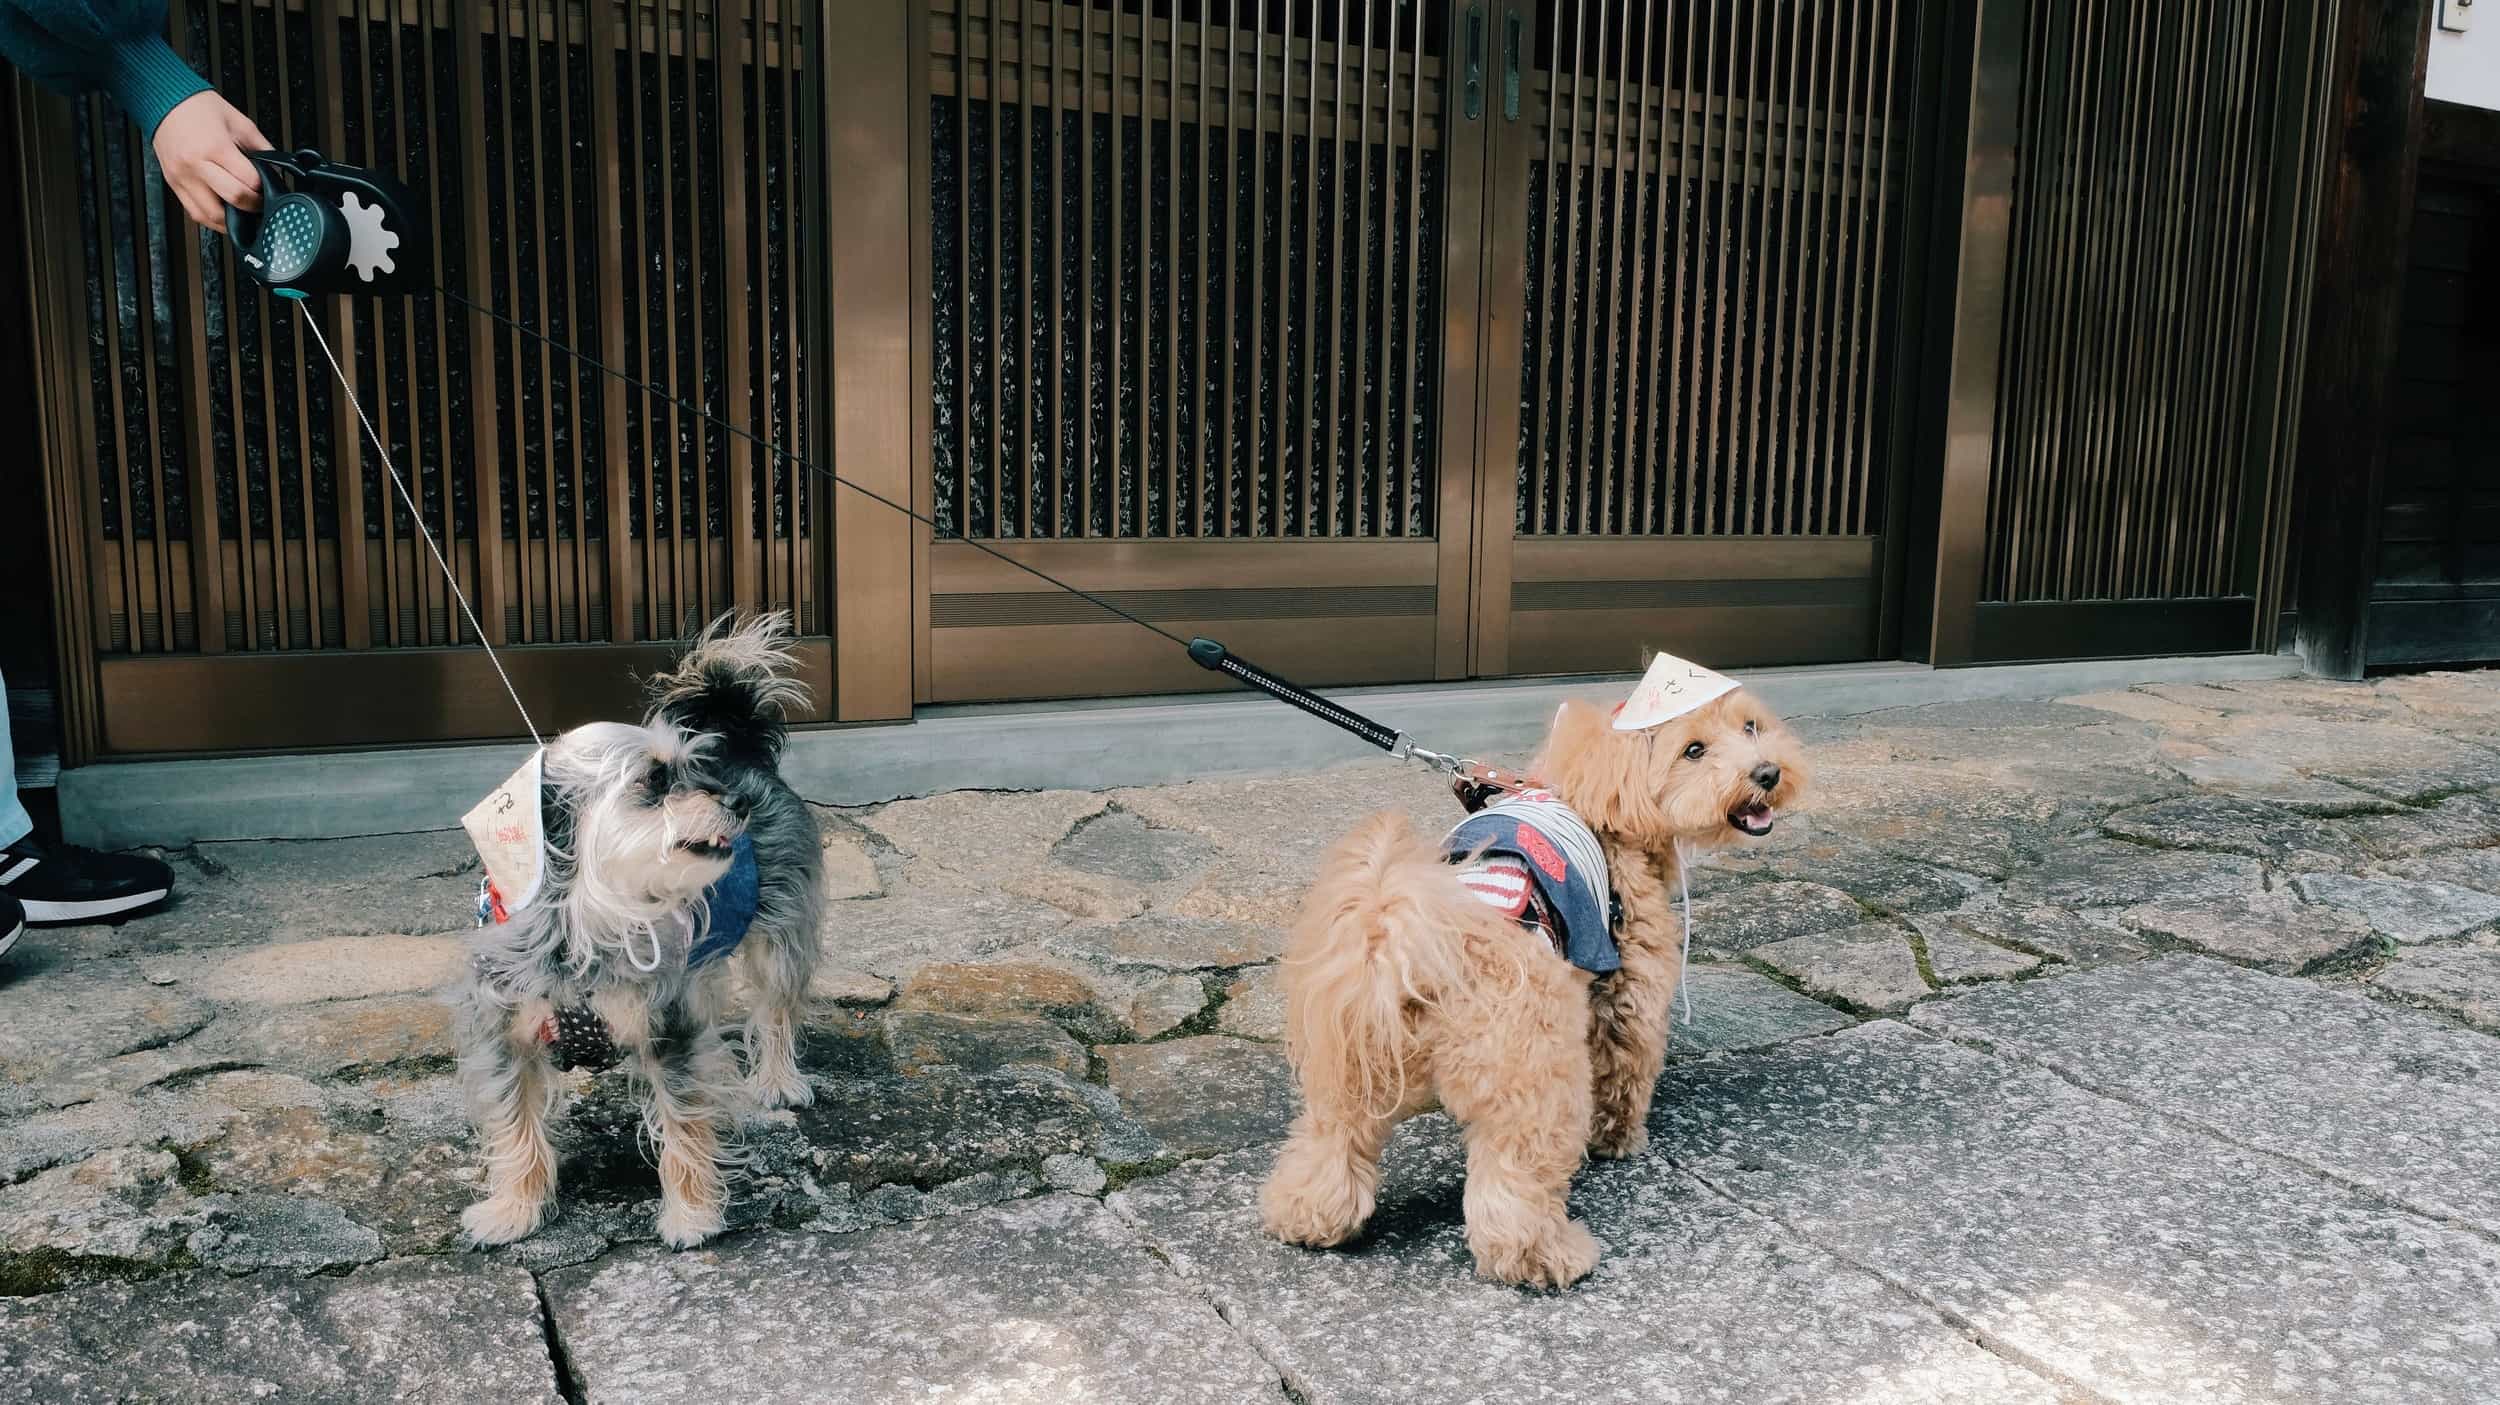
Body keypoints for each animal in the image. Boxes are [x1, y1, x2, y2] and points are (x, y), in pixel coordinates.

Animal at [455, 607, 825, 1240]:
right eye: (654, 780)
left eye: (691, 769)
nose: (737, 803)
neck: (591, 919)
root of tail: (744, 752)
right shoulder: (505, 1037)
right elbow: (516, 1128)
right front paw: (513, 1210)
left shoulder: (671, 1031)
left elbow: (683, 1129)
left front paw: (692, 1214)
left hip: (779, 937)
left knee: (775, 1011)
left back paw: (777, 1080)